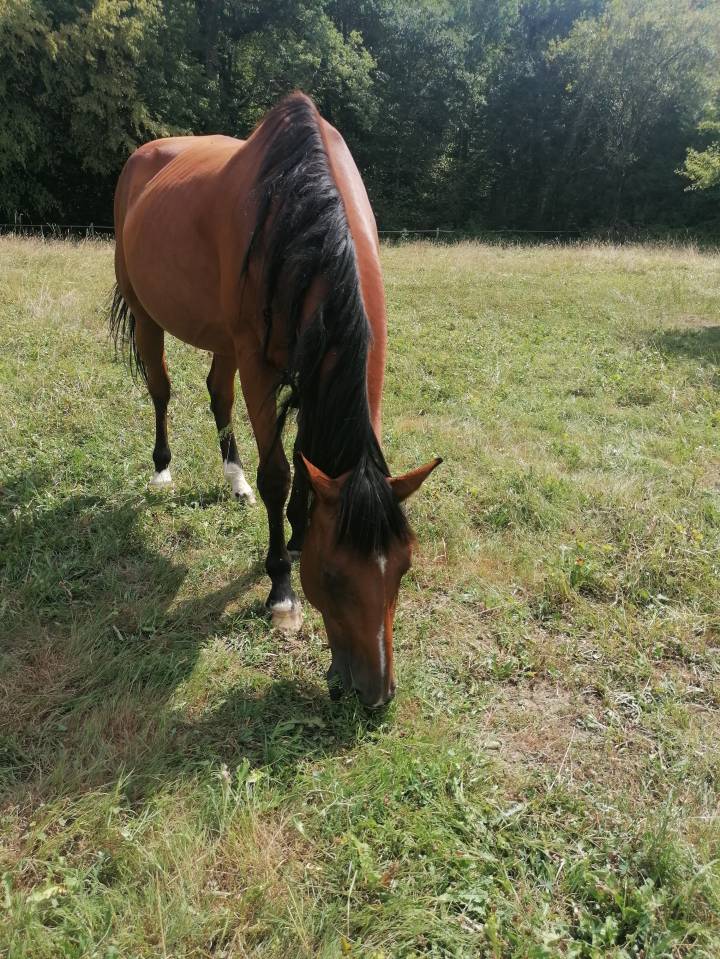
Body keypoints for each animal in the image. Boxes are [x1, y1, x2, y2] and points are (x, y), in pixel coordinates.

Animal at [110, 92, 441, 708]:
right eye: (332, 578)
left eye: (404, 568)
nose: (377, 696)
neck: (302, 211)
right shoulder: (258, 364)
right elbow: (280, 475)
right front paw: (282, 588)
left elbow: (303, 469)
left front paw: (294, 533)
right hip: (149, 316)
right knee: (161, 389)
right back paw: (163, 470)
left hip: (220, 339)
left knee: (217, 397)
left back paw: (232, 478)